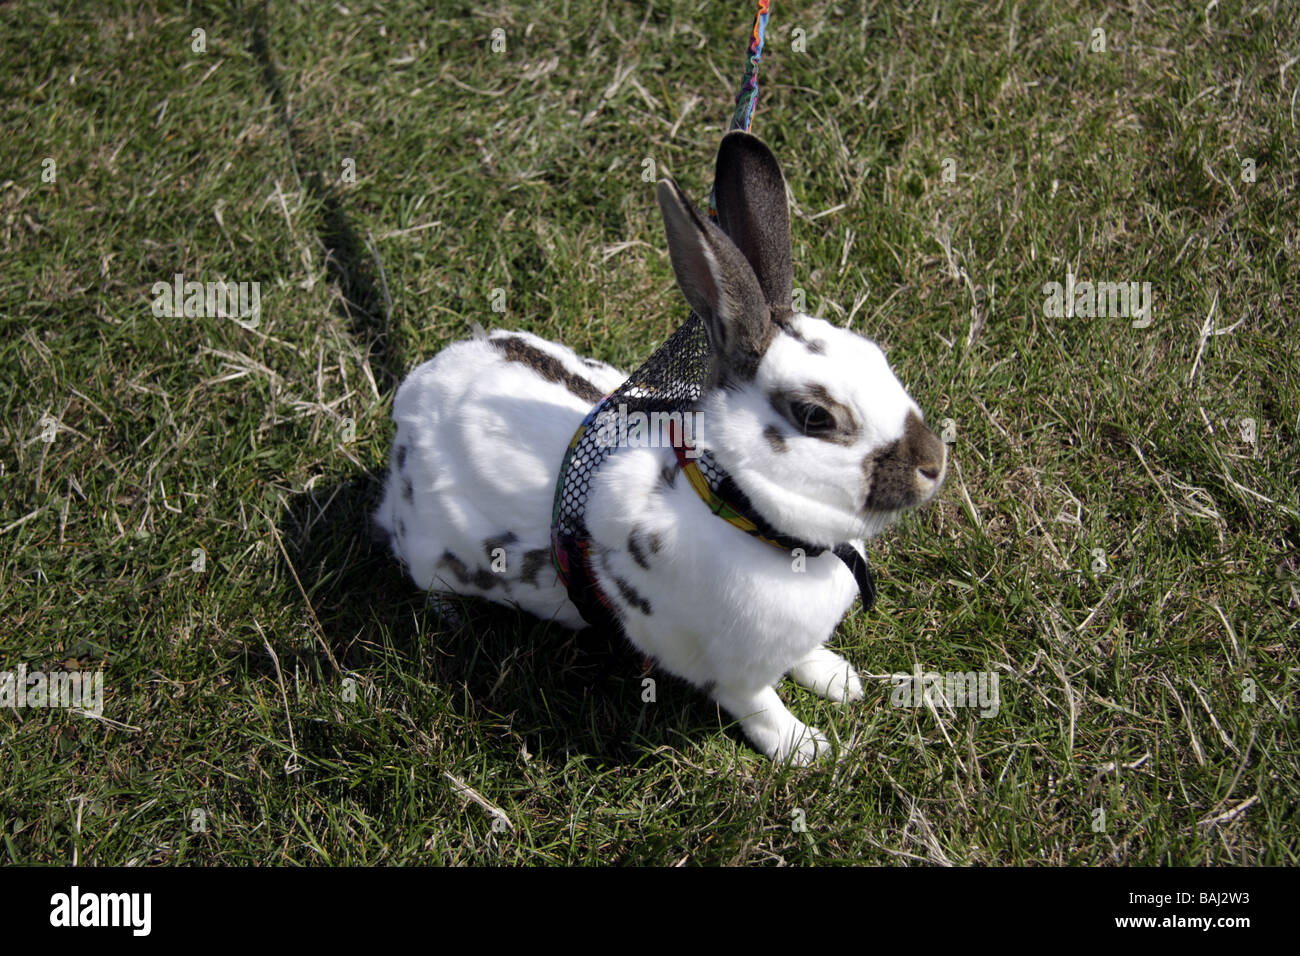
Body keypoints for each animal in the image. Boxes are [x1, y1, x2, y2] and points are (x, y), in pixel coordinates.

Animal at [376, 131, 947, 764]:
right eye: (816, 416)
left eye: (877, 357)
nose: (933, 465)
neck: (740, 513)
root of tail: (414, 393)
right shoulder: (727, 668)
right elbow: (759, 705)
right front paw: (803, 748)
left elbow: (804, 659)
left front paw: (839, 680)